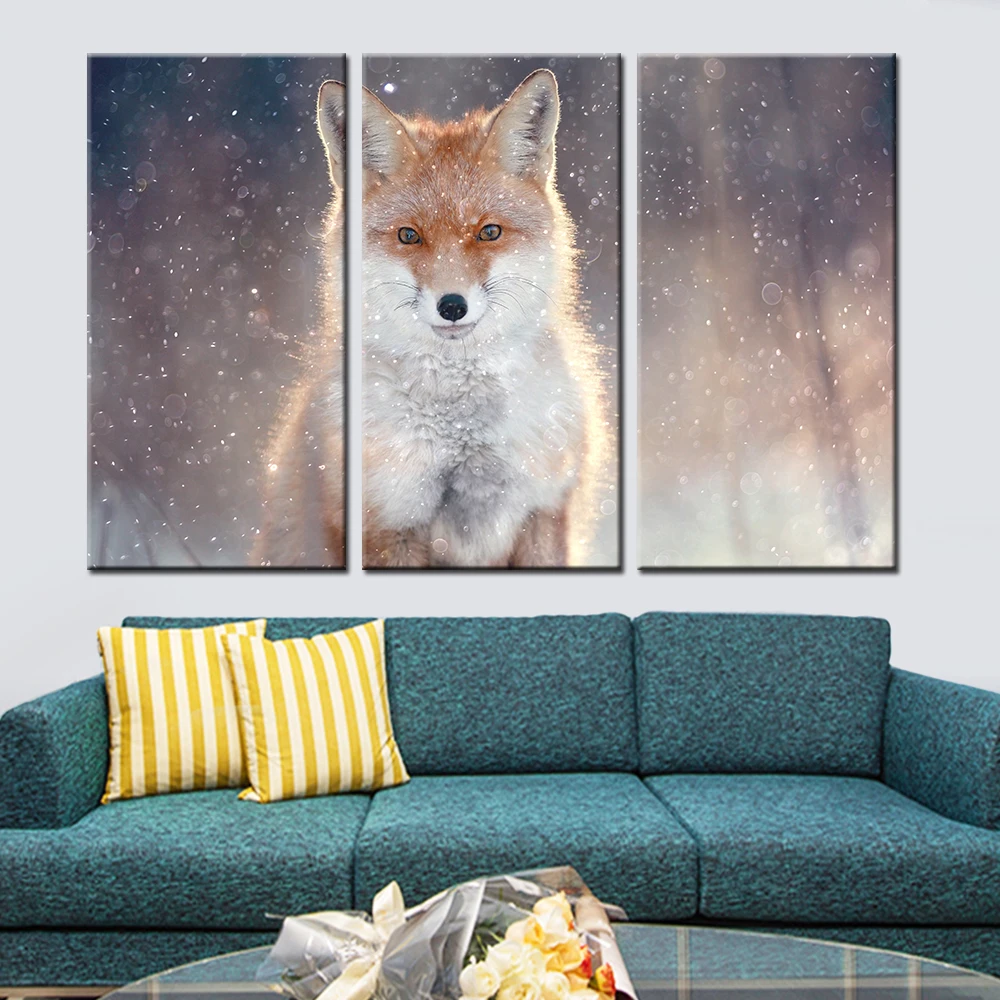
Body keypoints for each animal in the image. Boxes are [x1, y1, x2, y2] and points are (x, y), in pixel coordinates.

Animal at [362, 69, 612, 568]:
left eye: (489, 232)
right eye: (409, 236)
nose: (452, 305)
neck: (464, 433)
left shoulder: (543, 509)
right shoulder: (391, 519)